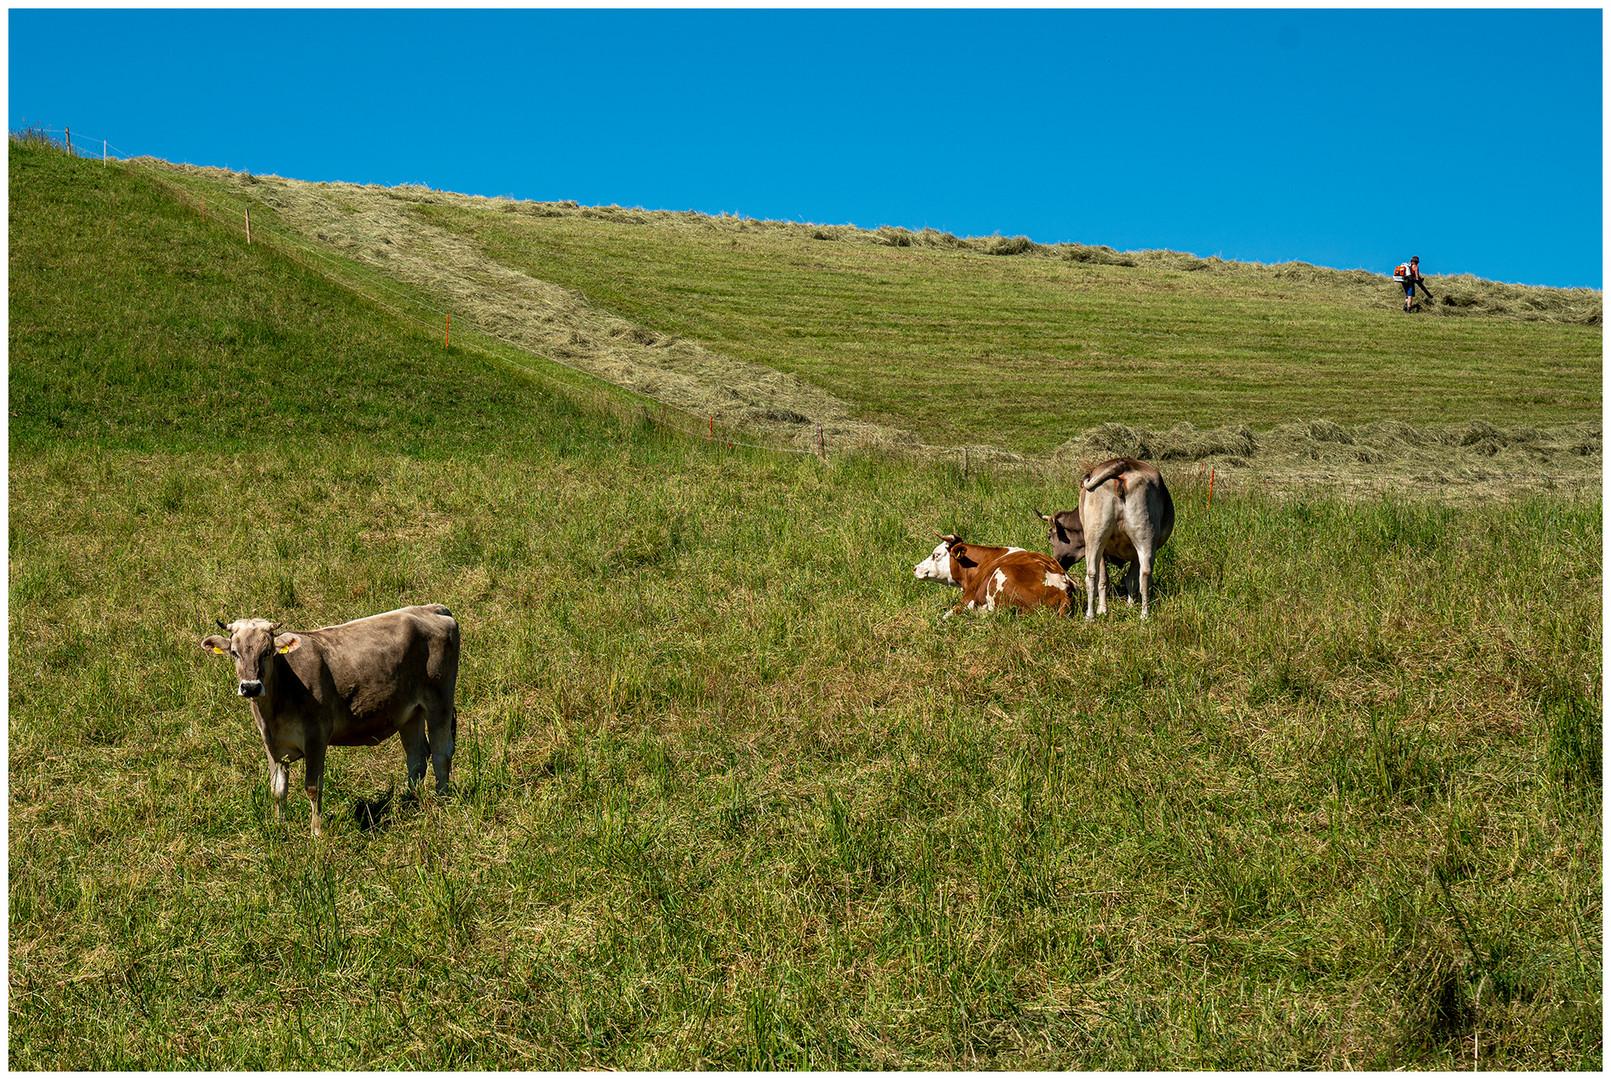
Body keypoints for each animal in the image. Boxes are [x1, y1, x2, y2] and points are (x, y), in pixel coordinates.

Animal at [199, 606, 460, 844]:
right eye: (234, 652)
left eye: (267, 651)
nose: (251, 687)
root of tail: (431, 608)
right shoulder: (271, 743)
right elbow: (278, 790)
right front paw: (279, 828)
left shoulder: (316, 736)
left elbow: (312, 787)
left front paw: (316, 833)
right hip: (409, 713)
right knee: (417, 757)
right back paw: (409, 803)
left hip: (440, 702)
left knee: (440, 754)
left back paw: (441, 801)